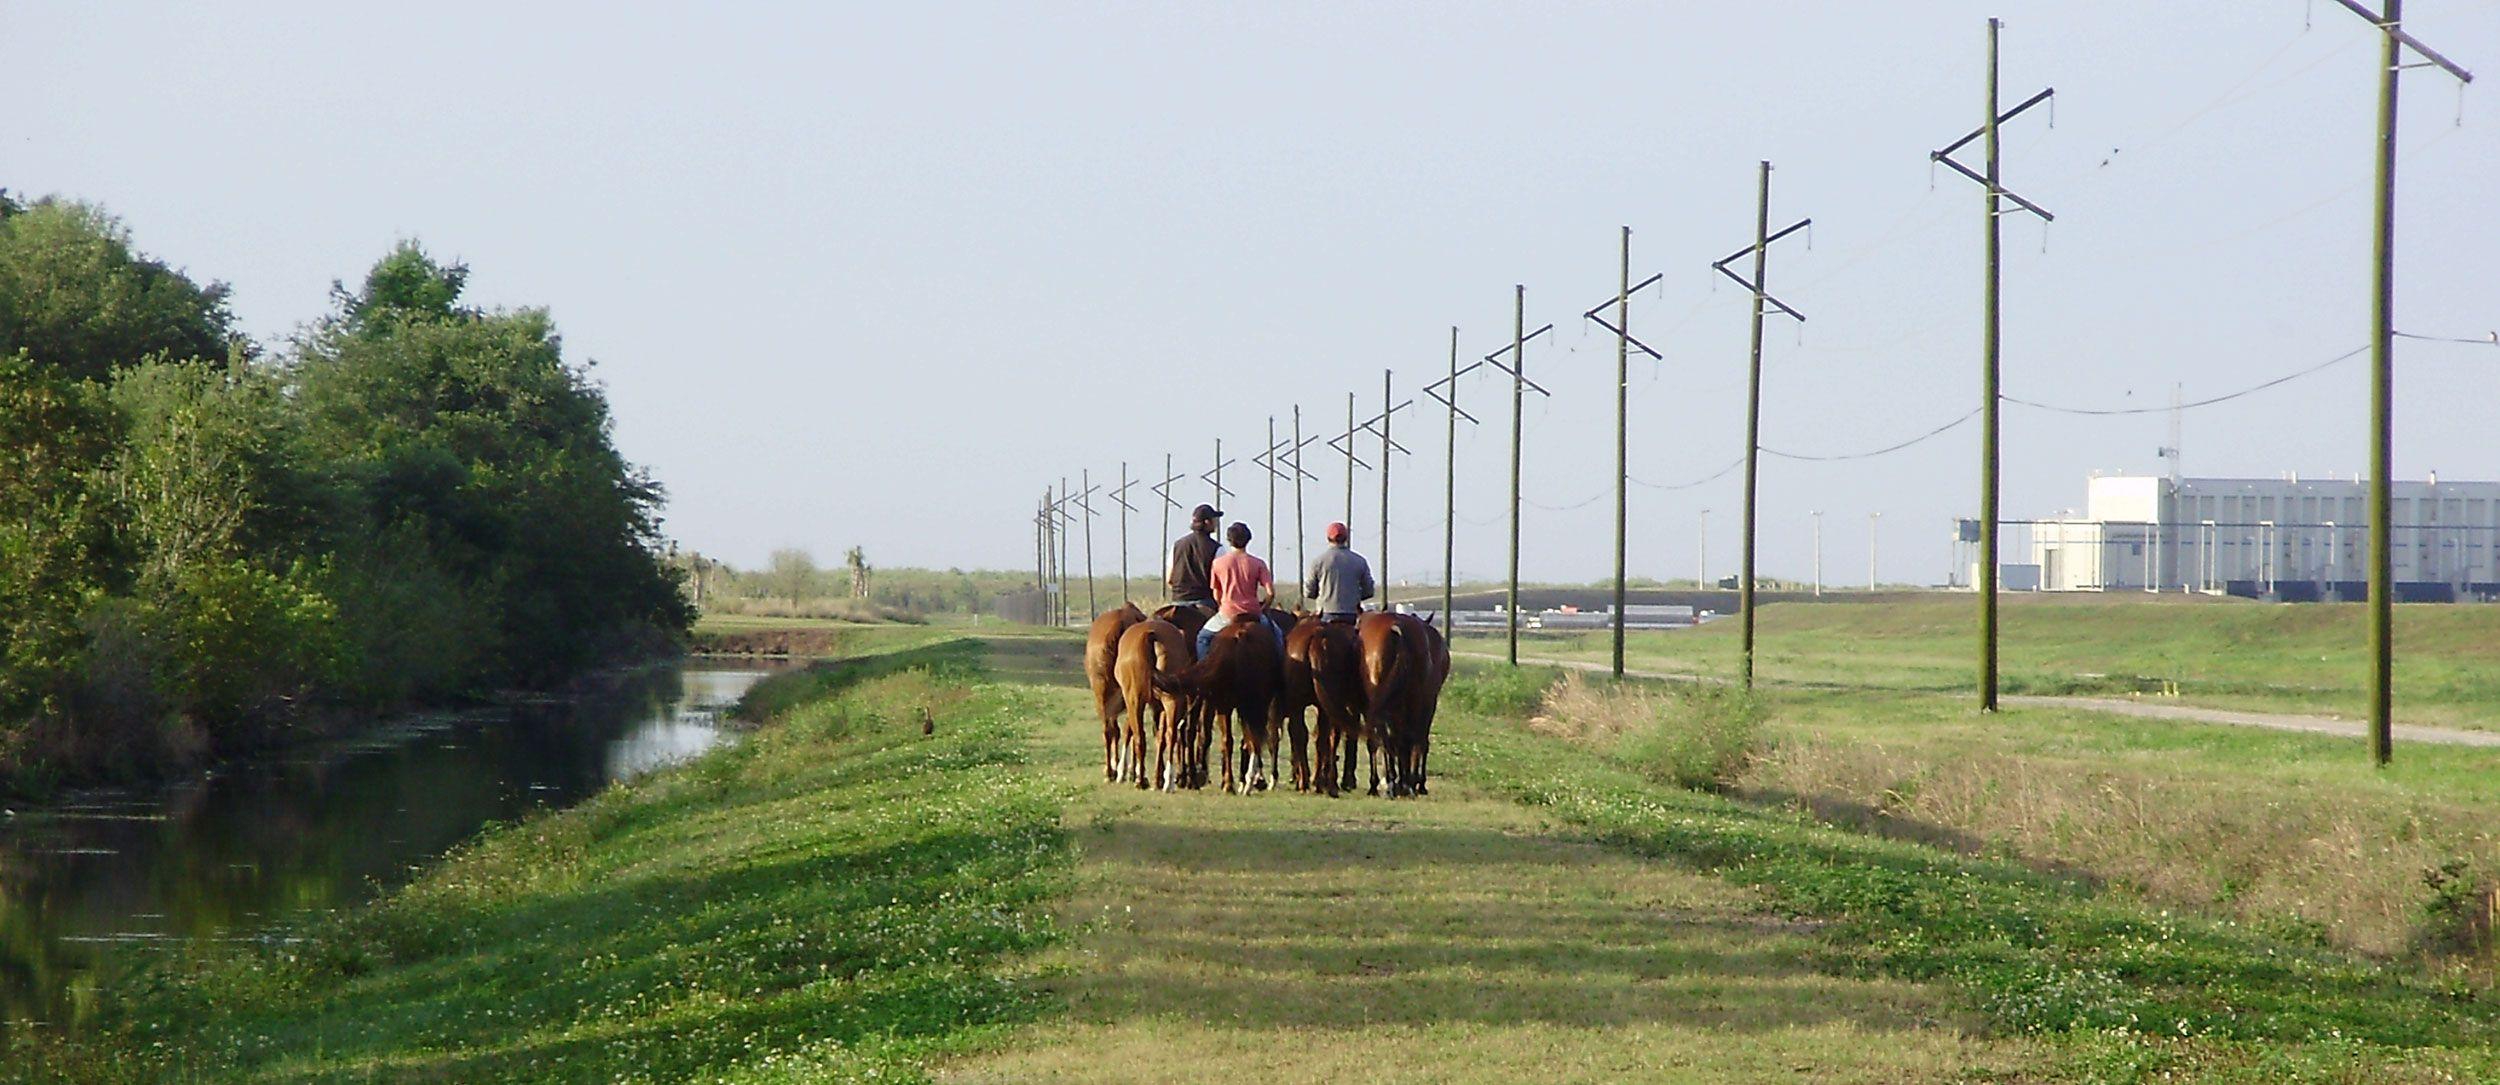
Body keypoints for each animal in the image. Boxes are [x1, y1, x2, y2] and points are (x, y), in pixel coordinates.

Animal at [1120, 620, 1195, 790]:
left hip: (1135, 701)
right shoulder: (1158, 707)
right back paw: (1168, 782)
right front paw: (1158, 778)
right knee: (1170, 735)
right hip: (1171, 700)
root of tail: (1150, 635)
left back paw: (1141, 780)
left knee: (1140, 736)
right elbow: (1160, 738)